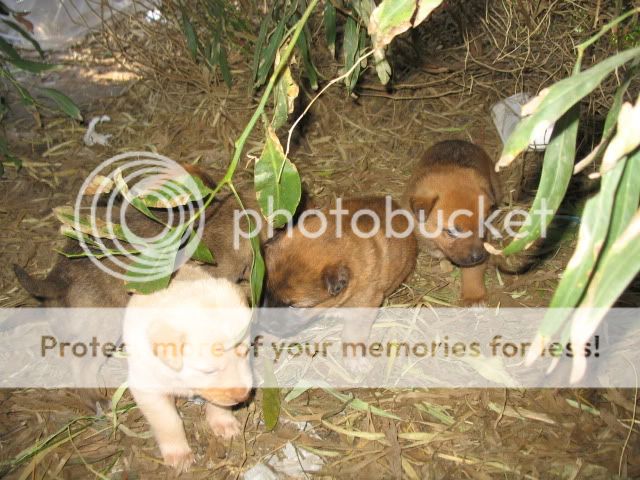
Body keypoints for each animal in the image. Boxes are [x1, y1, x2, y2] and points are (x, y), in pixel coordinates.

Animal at [124, 266, 254, 472]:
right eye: (208, 371)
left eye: (246, 352)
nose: (243, 396)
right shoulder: (147, 389)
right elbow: (168, 421)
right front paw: (179, 454)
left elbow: (219, 404)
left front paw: (223, 422)